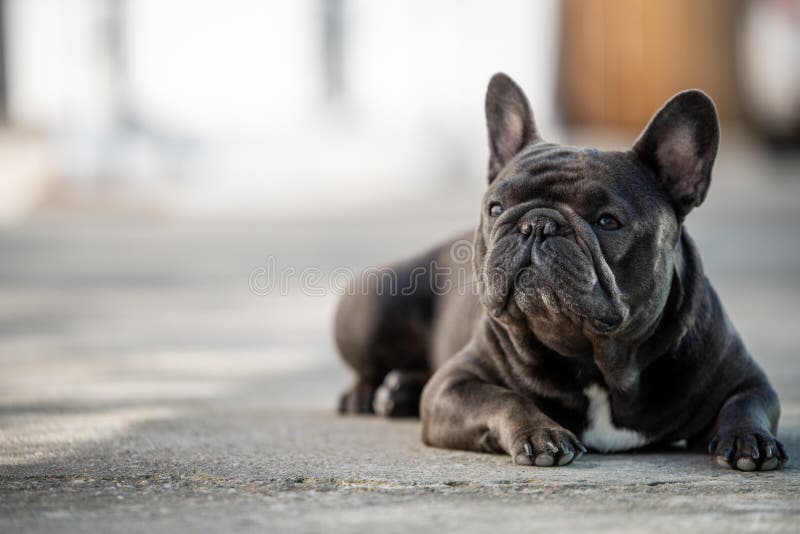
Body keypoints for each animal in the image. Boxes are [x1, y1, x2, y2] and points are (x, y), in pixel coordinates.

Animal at [332, 72, 788, 474]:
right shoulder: (452, 387)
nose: (537, 224)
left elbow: (746, 404)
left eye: (607, 221)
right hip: (373, 305)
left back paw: (399, 391)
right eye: (495, 208)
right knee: (370, 367)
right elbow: (503, 398)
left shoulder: (746, 379)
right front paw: (542, 433)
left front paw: (751, 440)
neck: (597, 364)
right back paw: (368, 395)